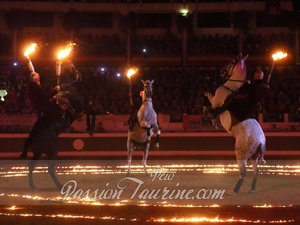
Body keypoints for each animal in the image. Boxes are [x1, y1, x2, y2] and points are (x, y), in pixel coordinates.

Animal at [206, 53, 264, 194]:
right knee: (256, 173)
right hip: (254, 157)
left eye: (231, 62)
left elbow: (210, 98)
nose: (221, 71)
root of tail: (260, 141)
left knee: (243, 173)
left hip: (240, 154)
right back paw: (251, 189)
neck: (233, 87)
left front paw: (212, 116)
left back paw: (234, 191)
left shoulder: (216, 100)